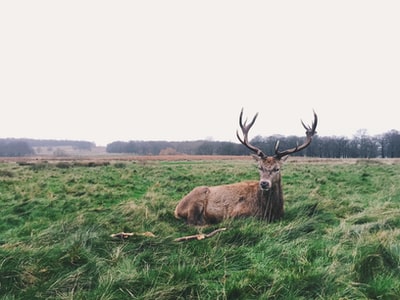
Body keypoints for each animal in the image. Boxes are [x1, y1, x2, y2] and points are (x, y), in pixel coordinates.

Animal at [173, 109, 318, 225]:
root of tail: (177, 209)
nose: (264, 183)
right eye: (259, 167)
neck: (270, 211)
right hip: (195, 202)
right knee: (192, 222)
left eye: (277, 168)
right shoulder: (236, 214)